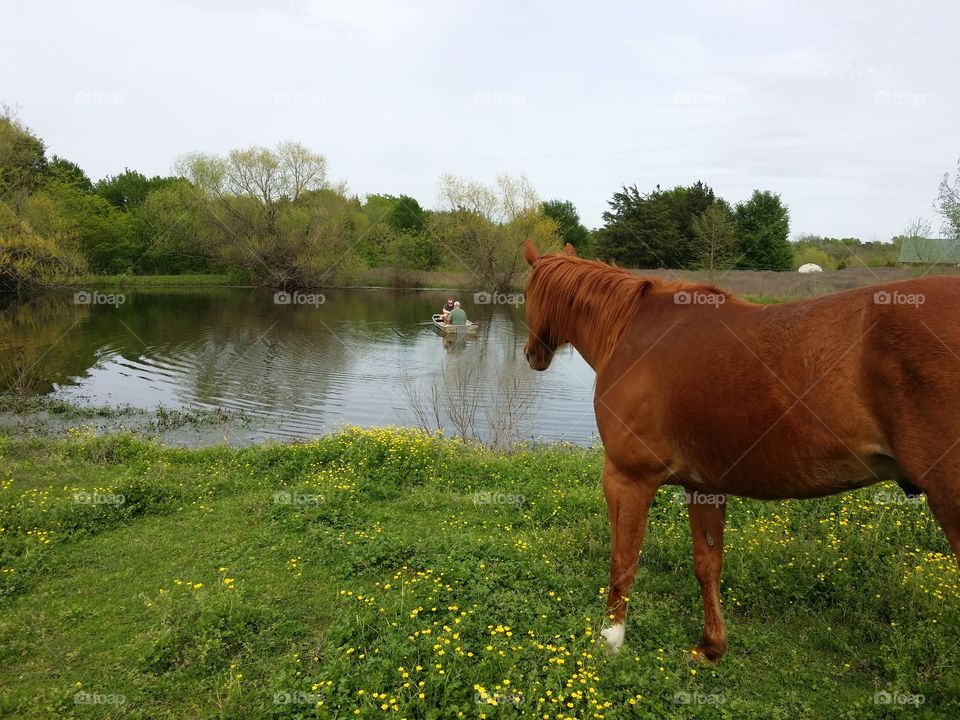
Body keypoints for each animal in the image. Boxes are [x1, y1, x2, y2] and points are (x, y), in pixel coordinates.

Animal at [520, 239, 960, 660]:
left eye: (524, 293)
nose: (530, 354)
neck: (633, 331)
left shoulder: (627, 478)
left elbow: (623, 560)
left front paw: (610, 640)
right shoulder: (703, 485)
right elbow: (707, 565)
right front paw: (711, 647)